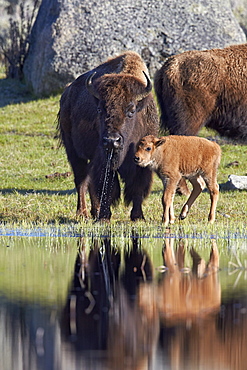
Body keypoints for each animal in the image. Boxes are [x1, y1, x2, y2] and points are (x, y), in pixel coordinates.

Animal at [57, 51, 158, 221]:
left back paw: (94, 211)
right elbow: (107, 187)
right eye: (99, 109)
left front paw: (138, 217)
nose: (111, 141)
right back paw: (83, 213)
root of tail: (67, 93)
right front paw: (104, 217)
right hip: (73, 150)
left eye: (131, 111)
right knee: (81, 180)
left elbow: (137, 186)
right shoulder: (103, 159)